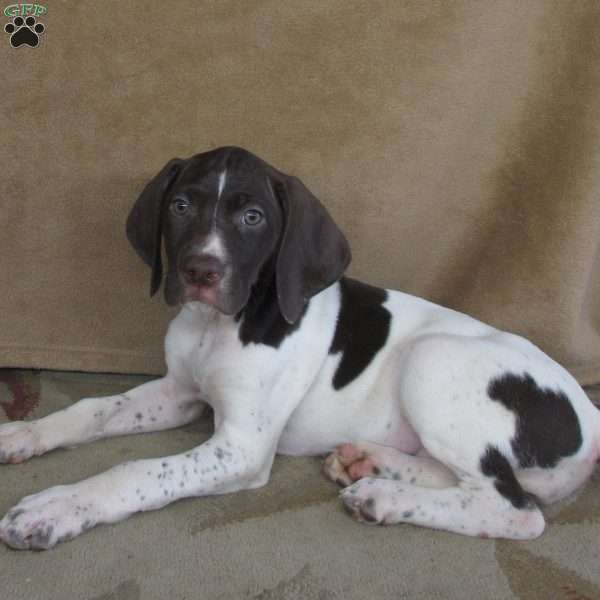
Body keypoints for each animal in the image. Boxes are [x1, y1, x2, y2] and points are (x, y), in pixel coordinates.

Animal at [1, 146, 600, 548]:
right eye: (181, 205)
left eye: (253, 217)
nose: (200, 271)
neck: (218, 326)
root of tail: (590, 415)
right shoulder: (180, 393)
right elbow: (91, 409)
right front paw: (25, 433)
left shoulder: (240, 449)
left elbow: (138, 471)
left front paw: (60, 505)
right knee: (469, 481)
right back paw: (368, 464)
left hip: (432, 358)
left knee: (515, 509)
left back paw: (385, 496)